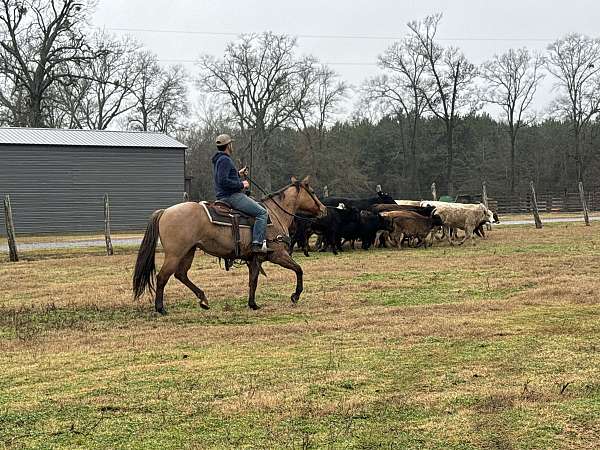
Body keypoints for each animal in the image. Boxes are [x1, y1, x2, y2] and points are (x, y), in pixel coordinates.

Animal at [133, 176, 326, 312]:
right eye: (313, 191)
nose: (323, 209)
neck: (274, 214)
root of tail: (165, 211)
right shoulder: (277, 255)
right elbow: (299, 269)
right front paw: (295, 295)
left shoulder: (255, 259)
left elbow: (253, 281)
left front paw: (252, 304)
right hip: (175, 254)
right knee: (162, 277)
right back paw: (160, 308)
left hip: (189, 251)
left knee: (181, 275)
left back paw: (203, 299)